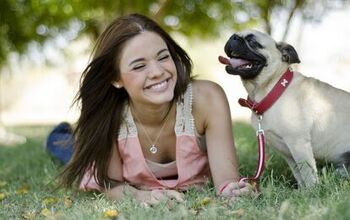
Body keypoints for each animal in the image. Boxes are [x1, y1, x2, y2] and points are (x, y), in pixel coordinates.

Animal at [219, 28, 350, 187]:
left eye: (252, 41)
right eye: (235, 35)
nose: (234, 37)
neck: (272, 87)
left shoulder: (298, 144)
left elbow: (307, 172)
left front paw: (313, 190)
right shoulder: (288, 153)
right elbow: (298, 173)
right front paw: (303, 190)